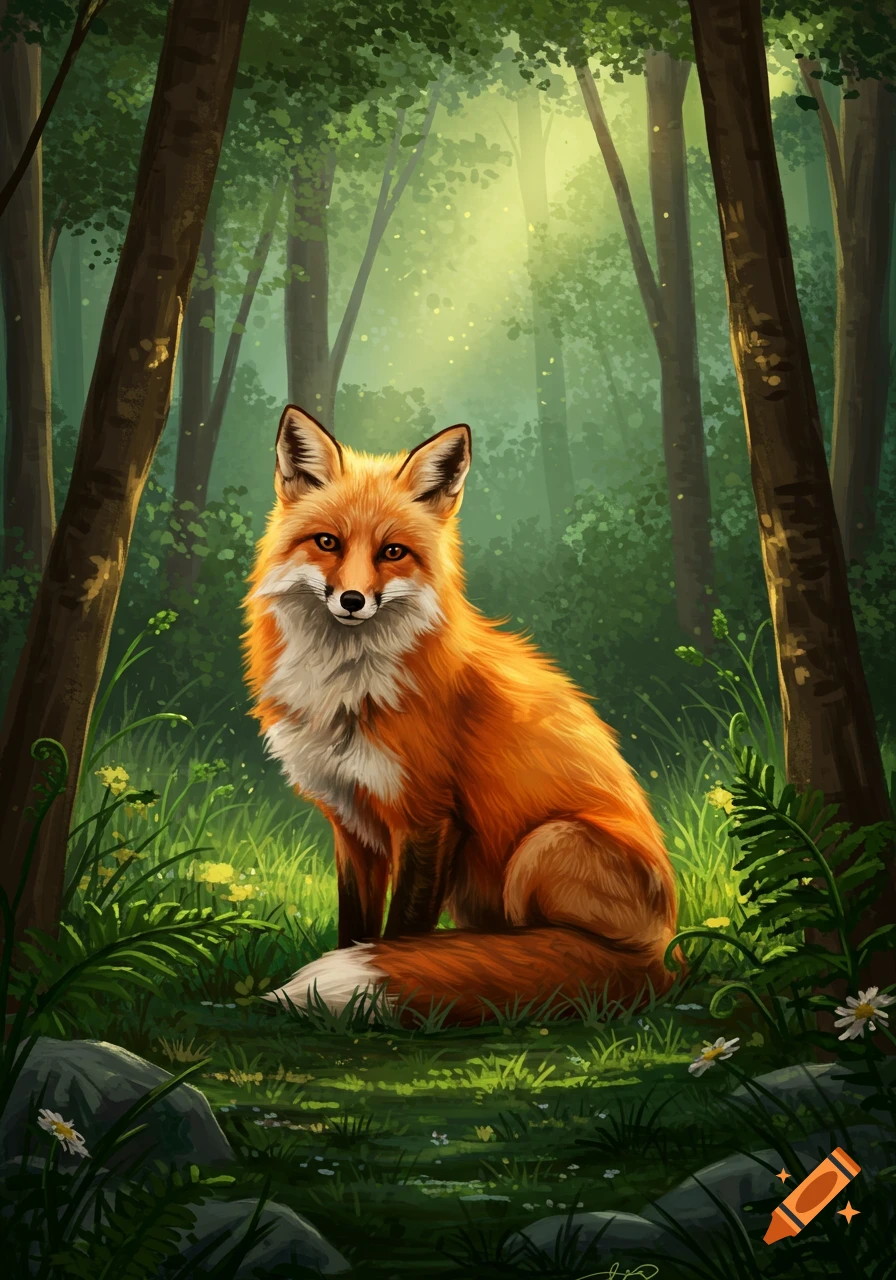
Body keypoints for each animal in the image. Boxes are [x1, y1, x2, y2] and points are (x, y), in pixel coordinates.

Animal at [243, 404, 680, 1025]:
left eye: (393, 552)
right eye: (327, 542)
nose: (352, 600)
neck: (348, 692)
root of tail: (667, 955)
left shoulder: (430, 819)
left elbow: (400, 935)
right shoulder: (351, 823)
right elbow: (355, 929)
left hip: (544, 844)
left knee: (561, 956)